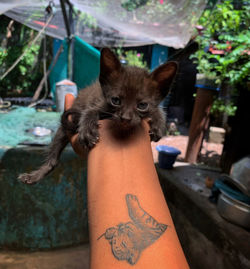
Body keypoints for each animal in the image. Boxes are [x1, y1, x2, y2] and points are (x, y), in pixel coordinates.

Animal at [18, 47, 177, 184]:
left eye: (142, 105)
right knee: (53, 159)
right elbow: (90, 111)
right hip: (63, 129)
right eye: (115, 100)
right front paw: (88, 130)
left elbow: (157, 110)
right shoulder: (99, 104)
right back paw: (35, 175)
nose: (125, 118)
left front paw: (158, 124)